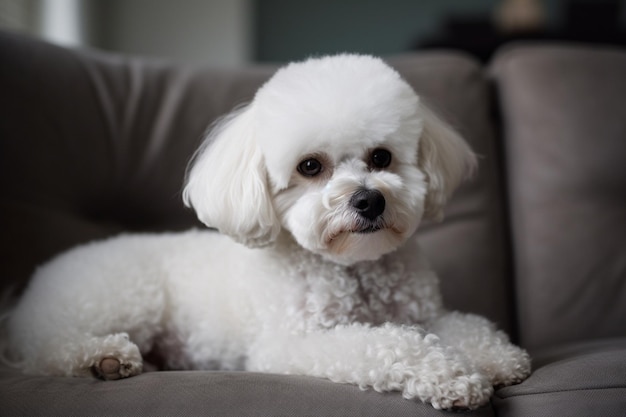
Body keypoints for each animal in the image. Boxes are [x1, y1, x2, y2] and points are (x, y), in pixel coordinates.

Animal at [6, 53, 532, 408]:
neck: (352, 269)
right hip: (125, 301)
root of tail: (23, 299)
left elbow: (464, 326)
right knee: (43, 350)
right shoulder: (292, 343)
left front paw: (497, 358)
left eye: (381, 157)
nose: (369, 199)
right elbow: (385, 343)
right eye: (310, 166)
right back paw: (105, 358)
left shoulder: (426, 315)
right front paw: (452, 376)